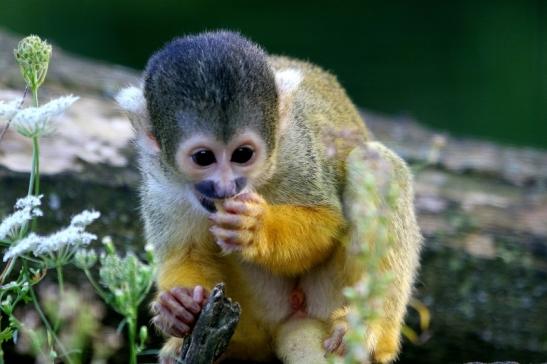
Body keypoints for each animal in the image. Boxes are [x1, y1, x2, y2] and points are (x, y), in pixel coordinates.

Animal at [116, 31, 424, 364]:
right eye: (203, 157)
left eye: (243, 154)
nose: (225, 187)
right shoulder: (161, 182)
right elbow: (184, 255)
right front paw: (178, 307)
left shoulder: (295, 148)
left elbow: (325, 225)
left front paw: (256, 228)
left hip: (329, 300)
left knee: (375, 163)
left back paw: (372, 328)